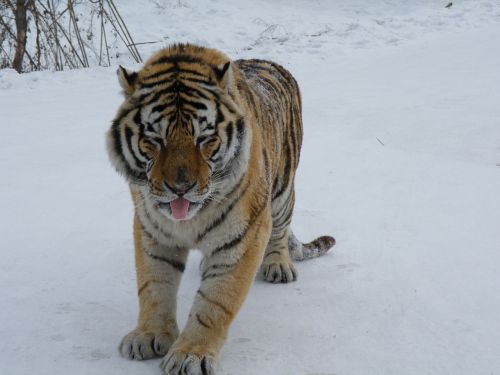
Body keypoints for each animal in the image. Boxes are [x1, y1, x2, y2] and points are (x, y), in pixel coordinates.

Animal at [106, 42, 334, 374]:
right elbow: (153, 285)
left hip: (281, 191)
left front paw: (190, 354)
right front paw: (149, 335)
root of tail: (270, 63)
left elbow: (215, 301)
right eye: (154, 140)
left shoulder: (244, 235)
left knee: (281, 229)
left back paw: (278, 265)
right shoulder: (151, 230)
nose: (180, 188)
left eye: (205, 139)